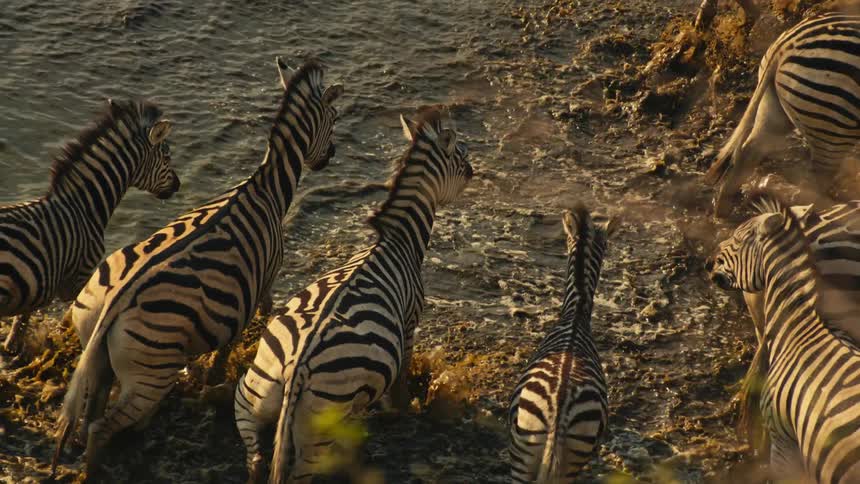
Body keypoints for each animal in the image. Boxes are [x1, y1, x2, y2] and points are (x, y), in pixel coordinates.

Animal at [0, 99, 179, 354]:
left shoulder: (40, 287)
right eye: (167, 158)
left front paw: (14, 348)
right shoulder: (80, 277)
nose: (177, 185)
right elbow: (78, 318)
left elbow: (21, 324)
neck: (84, 207)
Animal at [51, 58, 343, 475]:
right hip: (150, 374)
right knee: (100, 426)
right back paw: (98, 467)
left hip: (97, 343)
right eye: (334, 118)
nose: (330, 155)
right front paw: (217, 376)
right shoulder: (258, 284)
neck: (267, 188)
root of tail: (116, 302)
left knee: (93, 407)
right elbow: (243, 332)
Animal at [232, 107, 472, 483]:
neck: (398, 241)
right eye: (461, 157)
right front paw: (403, 409)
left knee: (255, 456)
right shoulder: (409, 322)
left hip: (252, 392)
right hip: (319, 431)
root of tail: (297, 368)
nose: (474, 172)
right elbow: (402, 377)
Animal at [704, 13, 860, 218]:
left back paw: (722, 214)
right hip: (834, 125)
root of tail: (783, 47)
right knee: (813, 184)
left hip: (774, 107)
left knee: (748, 153)